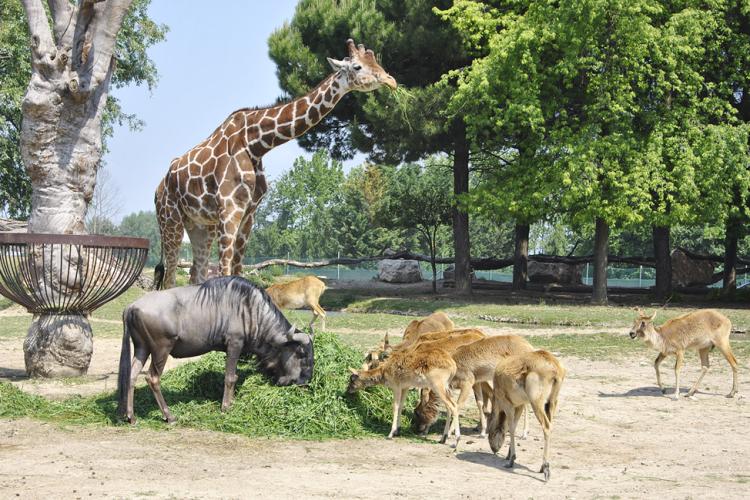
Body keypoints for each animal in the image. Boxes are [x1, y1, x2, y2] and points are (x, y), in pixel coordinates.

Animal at [154, 40, 400, 288]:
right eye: (358, 66)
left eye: (375, 61)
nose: (391, 81)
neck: (256, 144)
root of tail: (158, 189)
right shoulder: (229, 209)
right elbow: (225, 270)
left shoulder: (249, 213)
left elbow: (238, 269)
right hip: (171, 221)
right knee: (170, 276)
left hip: (201, 226)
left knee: (196, 273)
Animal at [490, 350, 568, 482]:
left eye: (490, 431)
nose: (494, 449)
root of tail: (554, 365)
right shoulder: (520, 406)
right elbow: (514, 425)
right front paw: (509, 455)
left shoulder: (508, 405)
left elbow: (511, 428)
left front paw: (511, 460)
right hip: (551, 403)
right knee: (550, 425)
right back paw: (542, 467)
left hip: (537, 404)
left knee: (546, 427)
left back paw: (545, 468)